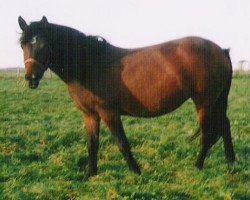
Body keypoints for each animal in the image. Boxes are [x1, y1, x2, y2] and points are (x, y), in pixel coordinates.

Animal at [19, 16, 234, 176]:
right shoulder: (89, 114)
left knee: (207, 135)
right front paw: (90, 174)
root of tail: (220, 50)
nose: (31, 78)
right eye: (23, 45)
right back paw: (230, 163)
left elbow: (122, 143)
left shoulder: (109, 113)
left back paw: (197, 167)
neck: (90, 64)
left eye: (44, 45)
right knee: (225, 126)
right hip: (216, 101)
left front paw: (135, 172)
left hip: (204, 102)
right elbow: (92, 144)